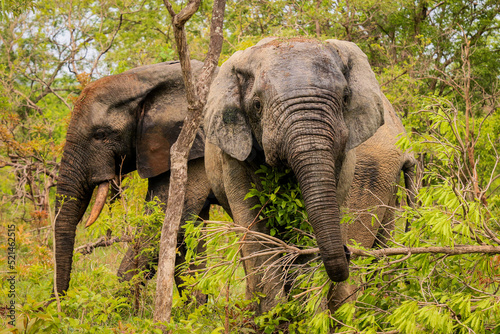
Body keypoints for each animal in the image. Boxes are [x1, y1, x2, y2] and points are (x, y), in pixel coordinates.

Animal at [54, 59, 215, 298]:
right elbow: (188, 237)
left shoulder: (193, 150)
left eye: (100, 135)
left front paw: (118, 307)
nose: (58, 302)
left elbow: (162, 225)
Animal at [201, 37, 416, 314]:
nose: (346, 251)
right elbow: (253, 226)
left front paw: (303, 315)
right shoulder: (233, 152)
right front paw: (272, 316)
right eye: (257, 105)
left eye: (345, 97)